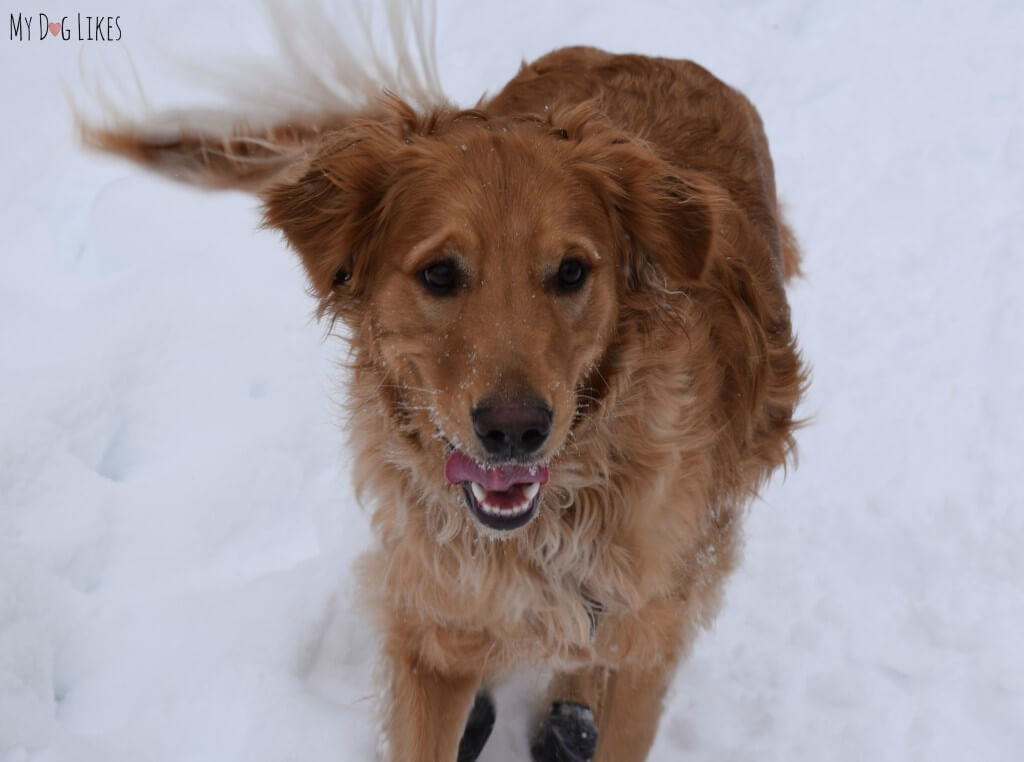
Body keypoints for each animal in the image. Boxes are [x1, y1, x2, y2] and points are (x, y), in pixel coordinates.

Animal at [83, 10, 802, 757]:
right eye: (439, 273)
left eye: (572, 271)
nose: (514, 430)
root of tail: (643, 53)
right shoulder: (433, 634)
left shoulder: (650, 642)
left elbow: (621, 664)